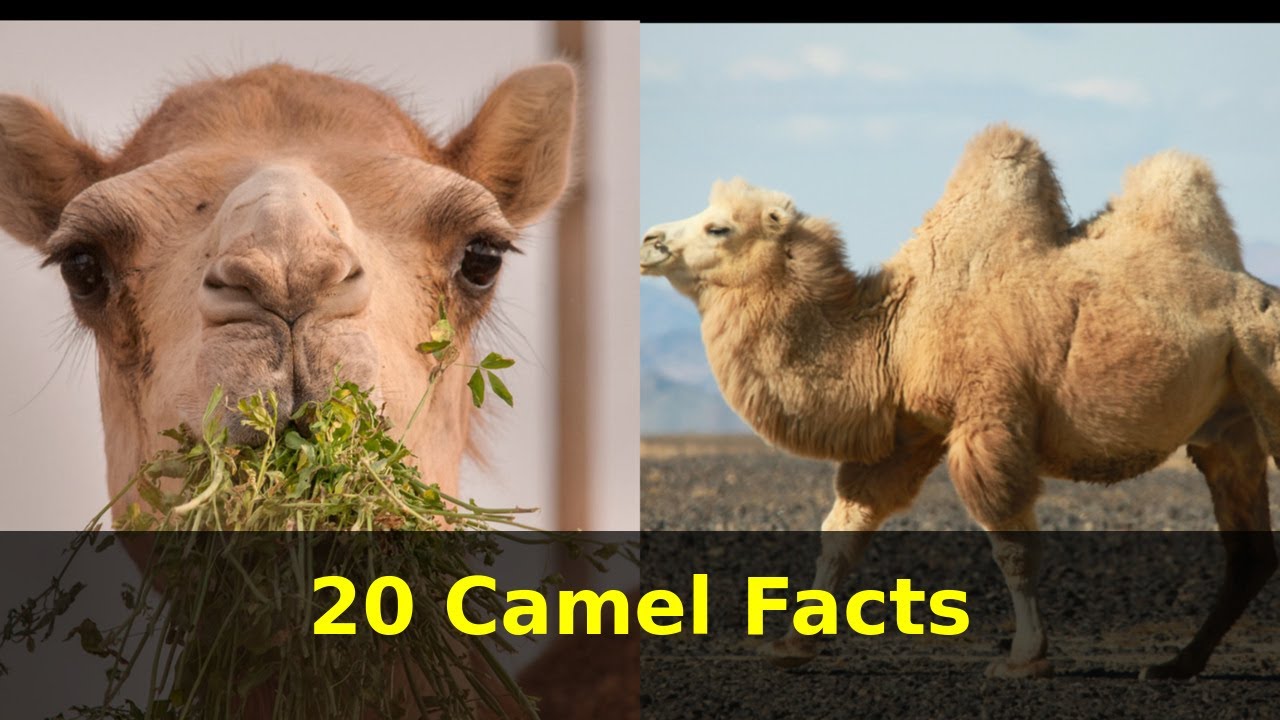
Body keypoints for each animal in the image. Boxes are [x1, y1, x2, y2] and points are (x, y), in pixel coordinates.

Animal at [640, 124, 1278, 680]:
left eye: (719, 228)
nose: (650, 241)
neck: (895, 333)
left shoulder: (989, 417)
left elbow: (1011, 544)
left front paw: (1024, 658)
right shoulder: (910, 431)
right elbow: (844, 530)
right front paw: (790, 646)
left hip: (1263, 370)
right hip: (1227, 422)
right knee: (1248, 551)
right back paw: (1175, 666)